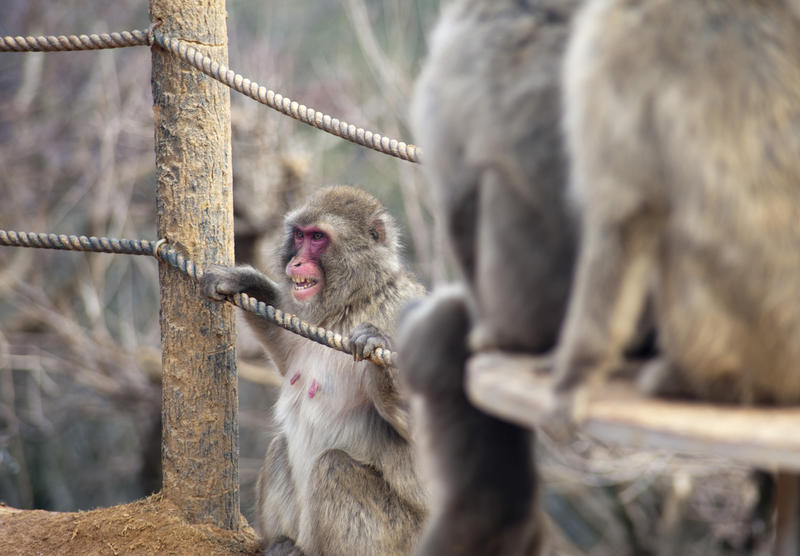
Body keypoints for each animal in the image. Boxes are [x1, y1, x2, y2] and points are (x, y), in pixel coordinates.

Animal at [200, 187, 428, 556]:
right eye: (299, 236)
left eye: (318, 238)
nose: (295, 262)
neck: (353, 303)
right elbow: (284, 353)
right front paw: (246, 281)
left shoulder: (402, 313)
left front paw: (376, 345)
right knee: (280, 445)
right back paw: (282, 544)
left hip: (404, 538)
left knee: (334, 466)